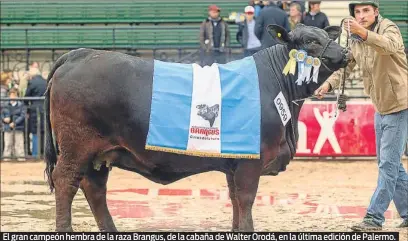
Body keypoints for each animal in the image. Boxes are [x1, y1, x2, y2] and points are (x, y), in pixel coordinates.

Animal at [42, 24, 348, 232]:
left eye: (329, 37)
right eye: (309, 40)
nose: (344, 52)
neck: (275, 82)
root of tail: (79, 54)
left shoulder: (235, 163)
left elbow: (235, 201)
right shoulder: (251, 161)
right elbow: (246, 200)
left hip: (100, 154)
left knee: (95, 189)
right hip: (77, 147)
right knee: (66, 182)